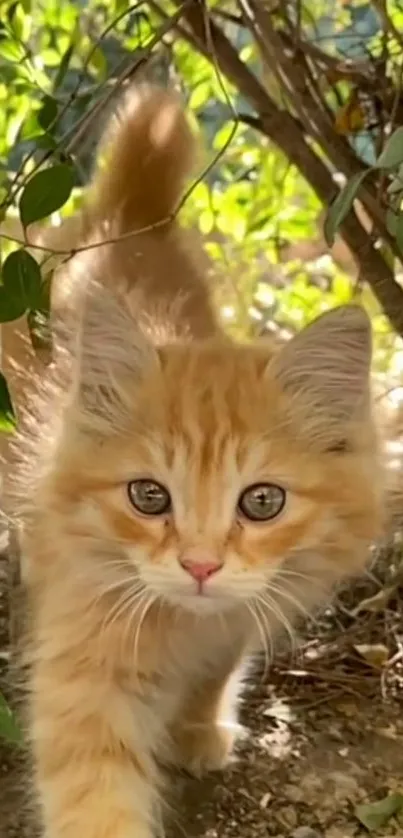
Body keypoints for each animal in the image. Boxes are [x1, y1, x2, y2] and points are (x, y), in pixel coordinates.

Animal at [12, 87, 384, 838]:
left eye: (262, 501)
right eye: (148, 497)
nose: (201, 566)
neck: (184, 626)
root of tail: (129, 218)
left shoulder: (239, 620)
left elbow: (217, 669)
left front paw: (198, 728)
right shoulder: (83, 661)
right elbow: (95, 792)